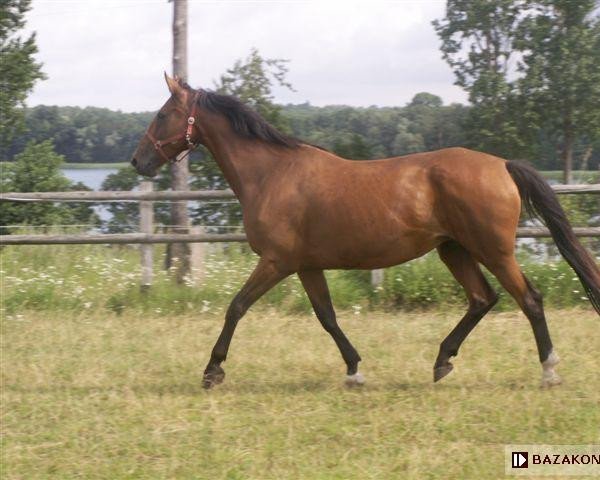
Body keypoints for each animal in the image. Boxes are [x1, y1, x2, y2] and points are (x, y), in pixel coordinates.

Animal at [132, 75, 600, 390]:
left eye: (163, 114)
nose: (138, 161)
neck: (271, 174)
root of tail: (502, 164)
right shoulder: (305, 266)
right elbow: (327, 317)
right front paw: (354, 371)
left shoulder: (277, 262)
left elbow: (236, 307)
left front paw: (213, 370)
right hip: (453, 250)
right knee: (483, 299)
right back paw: (442, 361)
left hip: (494, 250)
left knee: (528, 299)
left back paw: (549, 370)